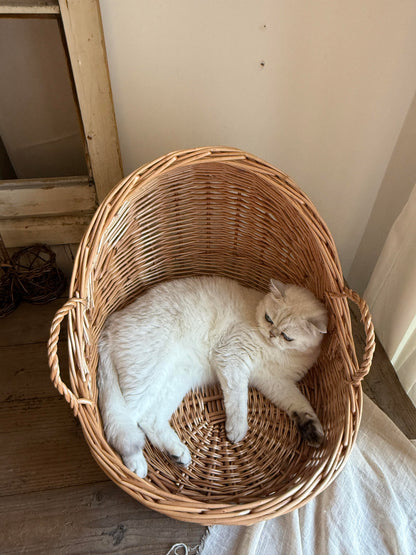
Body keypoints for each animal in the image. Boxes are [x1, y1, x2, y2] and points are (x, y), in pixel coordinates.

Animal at [97, 276, 328, 478]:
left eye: (287, 337)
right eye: (268, 318)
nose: (272, 334)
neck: (277, 352)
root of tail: (110, 325)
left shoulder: (276, 383)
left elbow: (300, 404)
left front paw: (314, 431)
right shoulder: (232, 358)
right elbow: (238, 399)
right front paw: (237, 430)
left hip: (173, 382)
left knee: (148, 419)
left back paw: (177, 453)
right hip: (146, 379)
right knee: (125, 423)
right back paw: (135, 462)